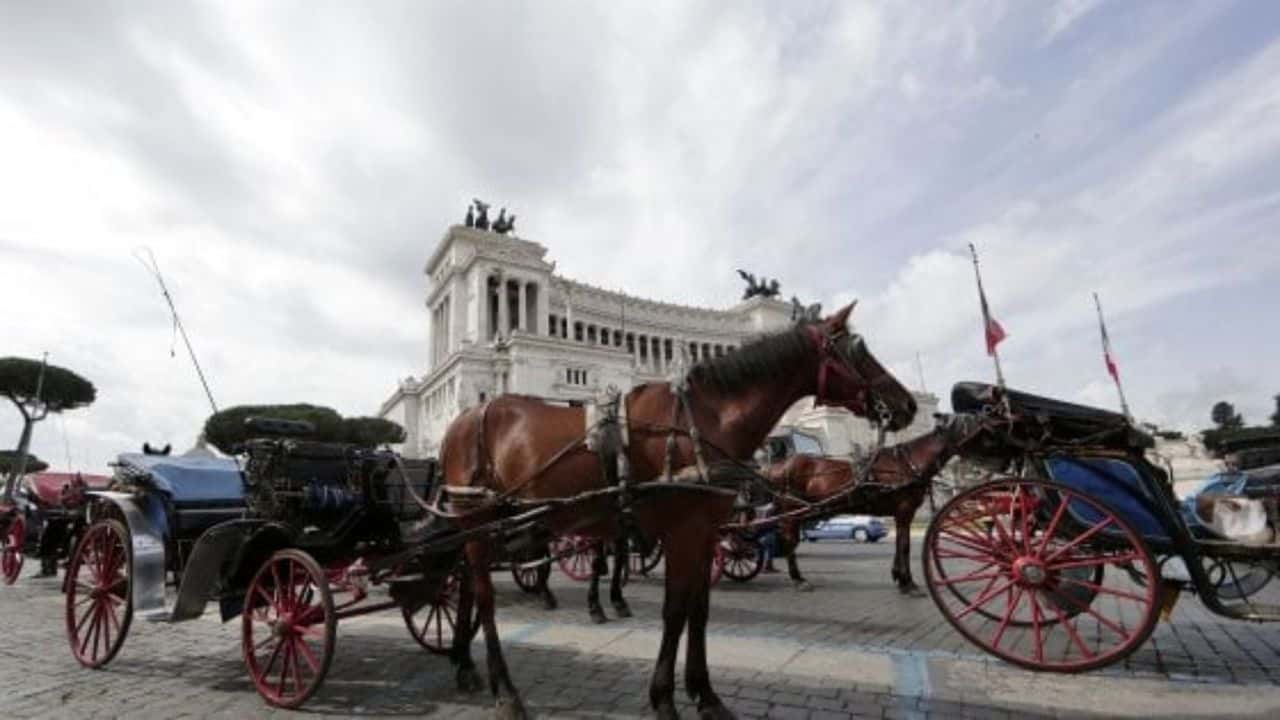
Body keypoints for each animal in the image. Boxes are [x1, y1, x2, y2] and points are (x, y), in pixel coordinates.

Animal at [768, 412, 977, 591]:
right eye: (973, 426)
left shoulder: (900, 513)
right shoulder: (905, 510)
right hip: (792, 510)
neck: (906, 464)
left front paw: (899, 578)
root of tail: (778, 466)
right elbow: (904, 545)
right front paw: (907, 582)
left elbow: (900, 542)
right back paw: (797, 578)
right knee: (789, 539)